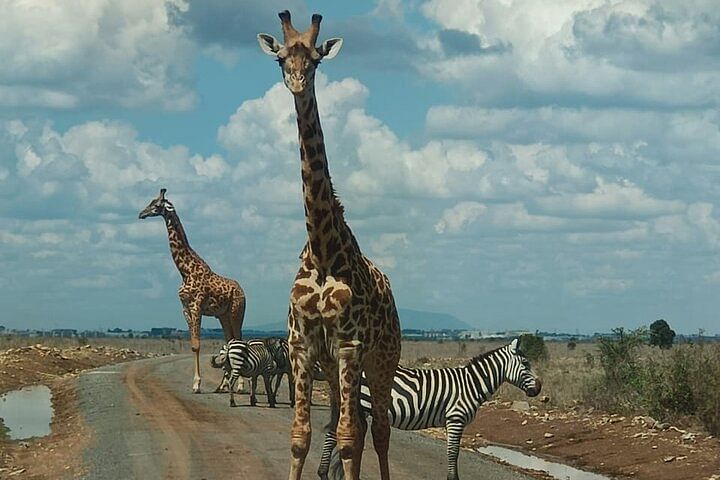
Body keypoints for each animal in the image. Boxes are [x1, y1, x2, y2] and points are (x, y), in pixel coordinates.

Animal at [139, 188, 246, 394]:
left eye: (156, 204)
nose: (141, 214)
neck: (185, 271)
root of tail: (243, 291)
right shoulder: (185, 308)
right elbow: (193, 346)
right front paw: (196, 383)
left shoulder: (197, 306)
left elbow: (197, 346)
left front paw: (197, 384)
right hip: (223, 316)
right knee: (229, 341)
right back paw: (223, 385)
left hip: (237, 312)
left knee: (238, 340)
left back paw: (240, 386)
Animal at [258, 11, 402, 480]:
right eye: (280, 58)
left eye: (316, 60)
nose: (297, 83)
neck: (322, 250)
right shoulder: (303, 348)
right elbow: (301, 435)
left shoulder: (350, 347)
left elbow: (349, 436)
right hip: (336, 366)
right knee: (346, 420)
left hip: (381, 361)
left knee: (376, 428)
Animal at [318, 338, 544, 480]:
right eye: (525, 364)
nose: (540, 388)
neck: (471, 383)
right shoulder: (456, 418)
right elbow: (453, 453)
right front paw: (452, 478)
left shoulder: (449, 421)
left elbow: (452, 453)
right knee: (332, 435)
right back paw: (322, 473)